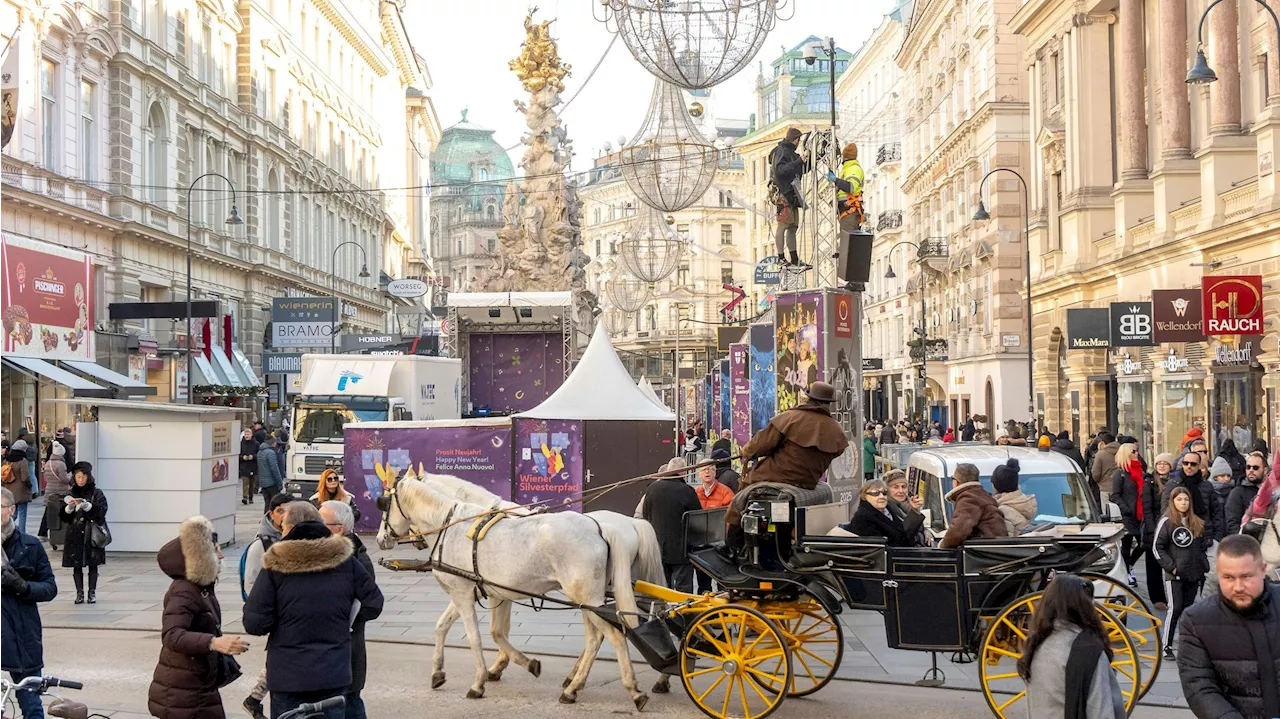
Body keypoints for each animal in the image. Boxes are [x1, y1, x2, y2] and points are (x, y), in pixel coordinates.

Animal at [371, 470, 650, 706]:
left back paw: (632, 690)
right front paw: (440, 672)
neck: (451, 526)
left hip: (587, 598)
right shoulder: (482, 592)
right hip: (588, 600)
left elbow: (476, 637)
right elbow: (453, 628)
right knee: (595, 638)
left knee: (612, 635)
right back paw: (574, 686)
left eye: (383, 503)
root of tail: (600, 528)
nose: (380, 539)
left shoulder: (462, 594)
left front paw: (480, 681)